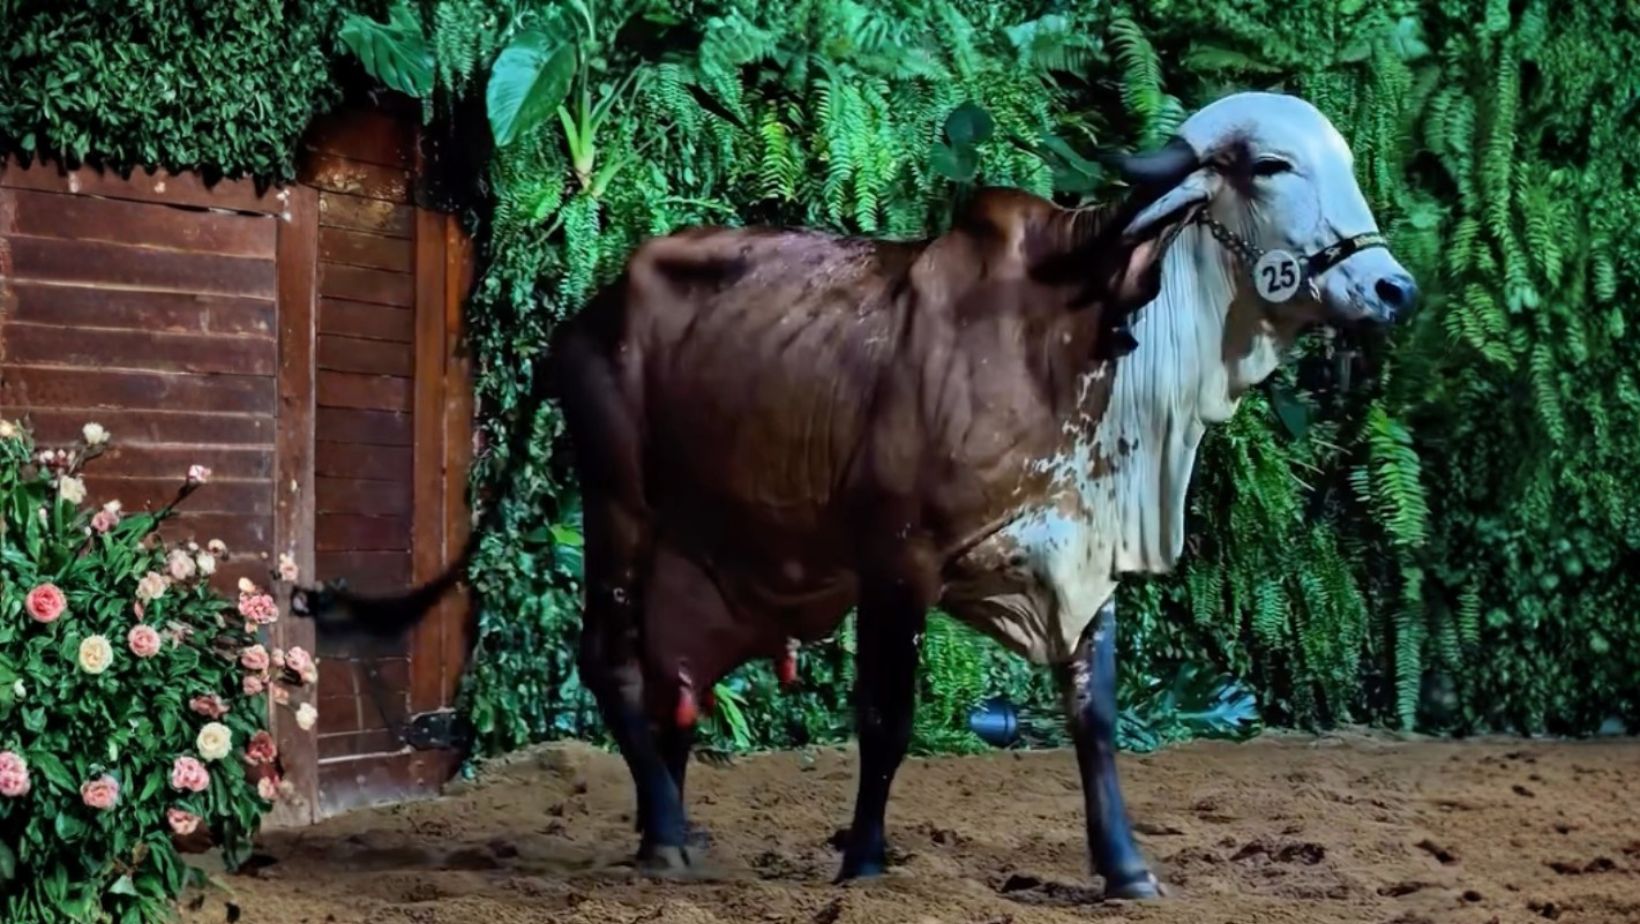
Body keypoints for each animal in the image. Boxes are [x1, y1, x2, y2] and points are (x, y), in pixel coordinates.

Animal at [293, 90, 1415, 901]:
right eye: (1271, 167)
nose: (1392, 289)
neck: (1082, 328)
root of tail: (587, 316)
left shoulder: (1083, 558)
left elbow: (1093, 718)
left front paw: (1127, 870)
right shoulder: (897, 561)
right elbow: (886, 715)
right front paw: (864, 857)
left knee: (668, 684)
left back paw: (665, 826)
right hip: (616, 506)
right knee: (609, 660)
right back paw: (667, 836)